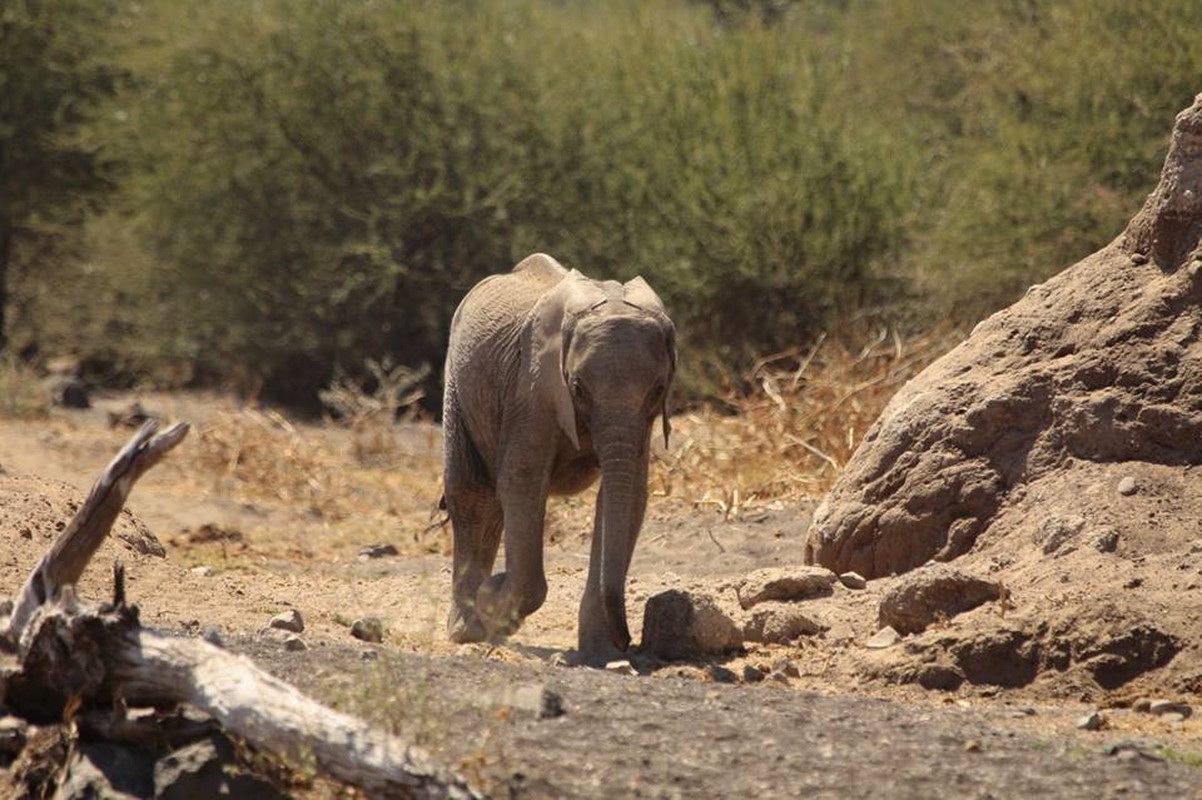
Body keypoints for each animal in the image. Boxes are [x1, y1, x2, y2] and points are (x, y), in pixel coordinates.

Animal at [442, 253, 677, 658]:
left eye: (658, 389)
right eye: (578, 389)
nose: (629, 641)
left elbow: (629, 494)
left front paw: (600, 655)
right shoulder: (532, 389)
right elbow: (521, 481)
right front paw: (492, 603)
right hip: (458, 384)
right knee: (471, 495)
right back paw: (468, 631)